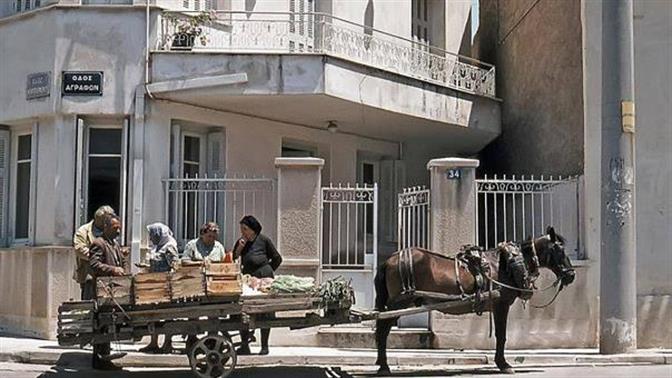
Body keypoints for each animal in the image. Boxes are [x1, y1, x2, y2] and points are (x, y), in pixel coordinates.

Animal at [376, 226, 576, 374]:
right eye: (559, 249)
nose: (571, 275)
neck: (508, 263)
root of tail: (390, 260)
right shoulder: (501, 304)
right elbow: (501, 335)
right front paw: (503, 364)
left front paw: (501, 362)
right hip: (399, 303)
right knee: (383, 331)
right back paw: (384, 366)